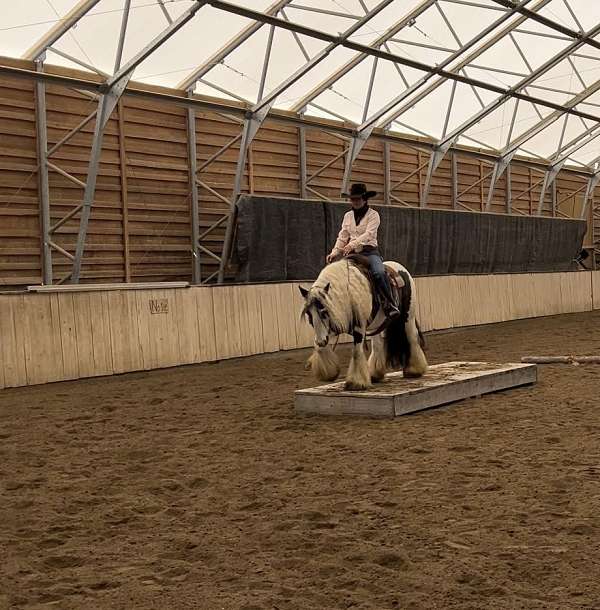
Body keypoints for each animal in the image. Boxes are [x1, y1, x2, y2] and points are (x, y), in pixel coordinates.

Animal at [300, 256, 426, 390]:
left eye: (324, 312)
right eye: (309, 314)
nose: (321, 340)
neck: (348, 293)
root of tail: (401, 269)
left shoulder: (359, 327)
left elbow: (356, 352)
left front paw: (355, 382)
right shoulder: (331, 327)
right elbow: (318, 347)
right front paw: (329, 373)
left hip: (408, 316)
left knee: (412, 337)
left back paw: (414, 370)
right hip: (378, 324)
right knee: (377, 345)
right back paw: (376, 374)